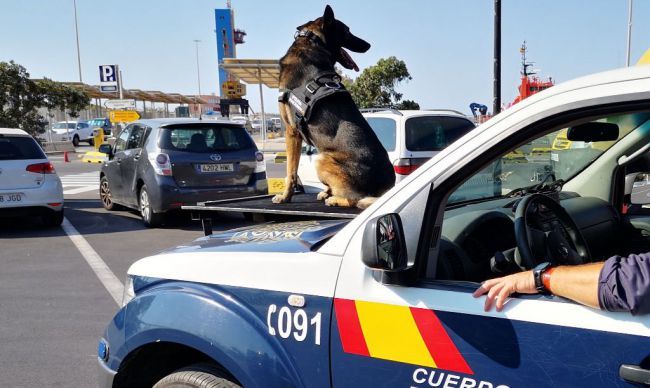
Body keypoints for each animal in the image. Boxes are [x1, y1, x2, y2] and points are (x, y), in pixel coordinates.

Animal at [270, 4, 392, 208]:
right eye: (347, 31)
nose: (368, 45)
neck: (312, 42)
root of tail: (386, 188)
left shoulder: (291, 131)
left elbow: (290, 173)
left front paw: (285, 196)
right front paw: (323, 192)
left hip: (321, 158)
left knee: (356, 199)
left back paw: (335, 199)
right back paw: (330, 193)